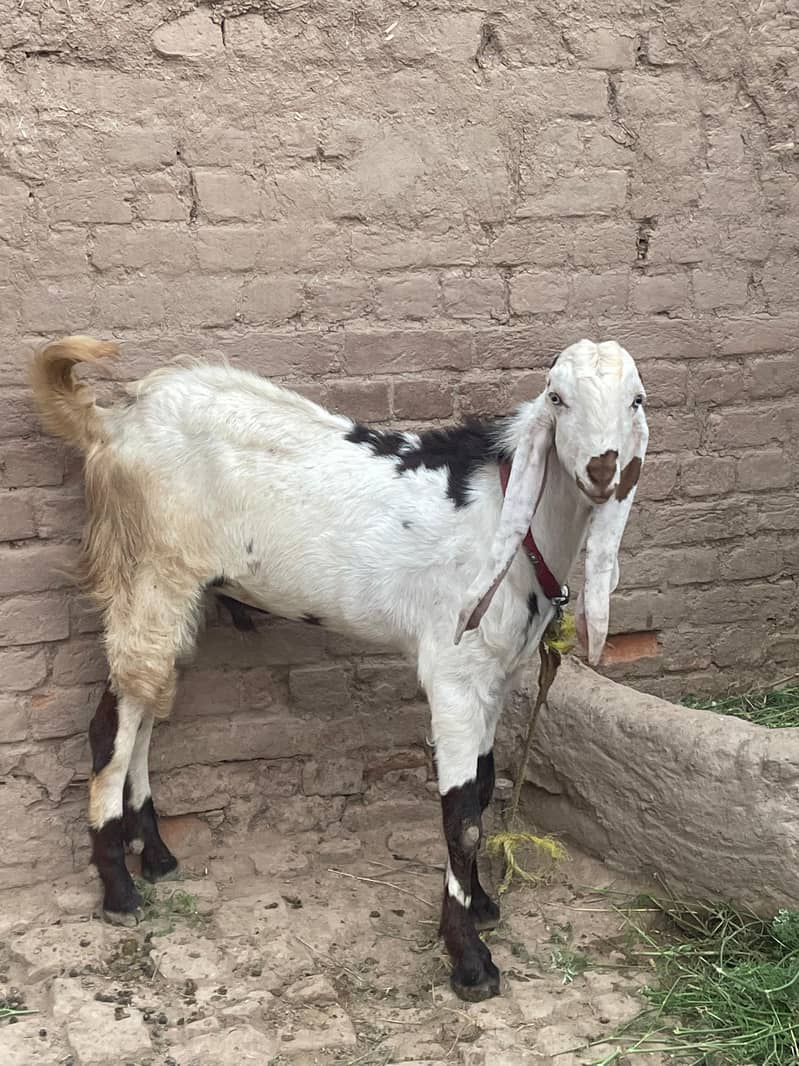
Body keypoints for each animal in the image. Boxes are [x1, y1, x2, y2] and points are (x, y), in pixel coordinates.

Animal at [31, 335, 648, 1002]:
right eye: (557, 398)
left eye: (636, 401)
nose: (604, 470)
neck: (506, 521)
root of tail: (112, 421)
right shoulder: (454, 672)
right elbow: (461, 816)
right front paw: (470, 960)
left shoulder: (496, 674)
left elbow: (483, 792)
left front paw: (481, 904)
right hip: (147, 574)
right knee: (112, 726)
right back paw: (119, 891)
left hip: (178, 594)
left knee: (145, 708)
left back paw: (156, 856)